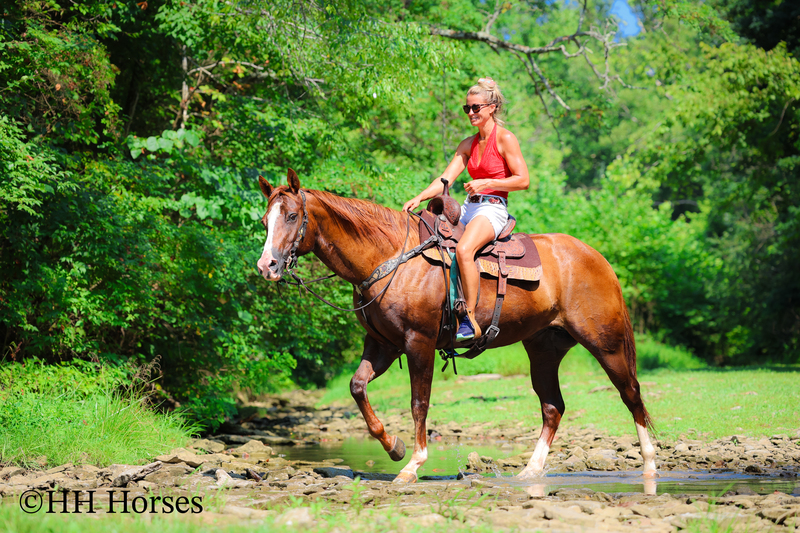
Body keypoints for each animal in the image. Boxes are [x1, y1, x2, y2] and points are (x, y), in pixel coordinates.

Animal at [256, 169, 657, 484]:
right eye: (265, 220)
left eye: (291, 215)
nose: (267, 266)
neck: (389, 257)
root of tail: (597, 258)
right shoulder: (382, 343)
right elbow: (357, 387)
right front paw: (394, 447)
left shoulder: (418, 342)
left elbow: (419, 402)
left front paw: (412, 465)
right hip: (544, 348)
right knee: (552, 407)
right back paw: (530, 470)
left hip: (605, 343)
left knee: (631, 395)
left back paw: (651, 464)